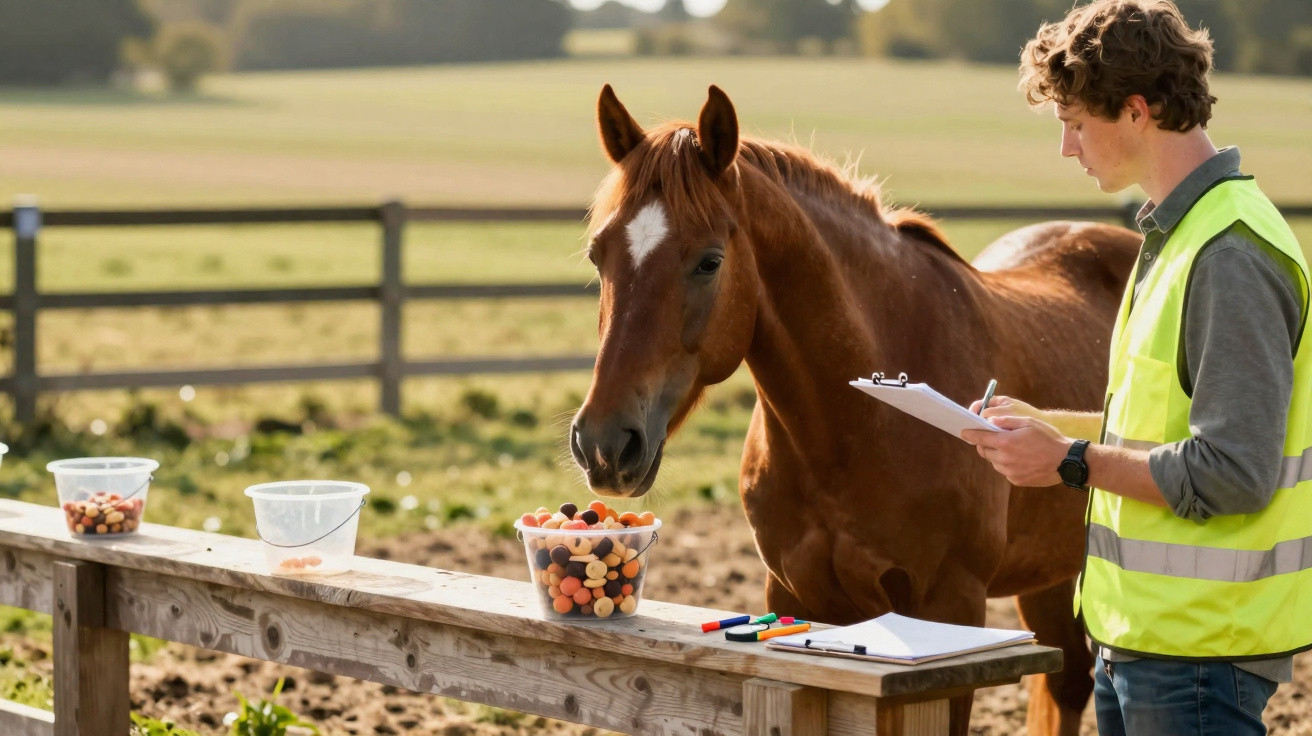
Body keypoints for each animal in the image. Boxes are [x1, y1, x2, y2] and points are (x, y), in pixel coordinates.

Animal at [569, 84, 1139, 736]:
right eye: (598, 255)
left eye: (710, 261)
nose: (604, 443)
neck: (855, 428)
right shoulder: (795, 598)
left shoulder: (951, 610)